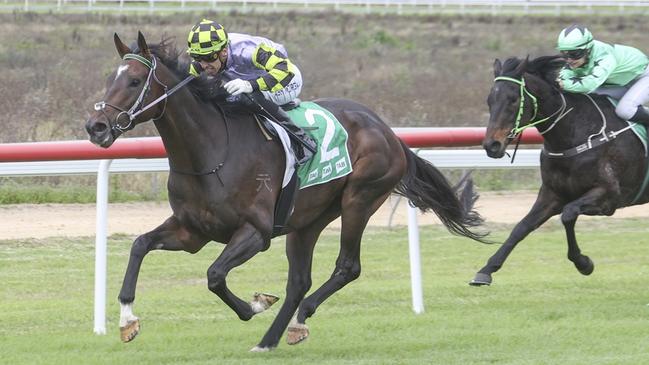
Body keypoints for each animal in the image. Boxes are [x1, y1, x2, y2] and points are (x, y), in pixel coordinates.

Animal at [85, 32, 486, 352]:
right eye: (108, 78)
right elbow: (139, 245)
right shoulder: (192, 231)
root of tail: (388, 132)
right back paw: (270, 339)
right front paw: (127, 320)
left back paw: (298, 319)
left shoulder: (255, 232)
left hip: (360, 198)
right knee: (299, 281)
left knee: (346, 267)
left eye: (135, 80)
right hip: (307, 220)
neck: (211, 151)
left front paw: (255, 305)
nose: (96, 126)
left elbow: (214, 275)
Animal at [470, 55, 648, 286]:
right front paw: (487, 270)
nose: (491, 145)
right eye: (489, 100)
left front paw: (583, 263)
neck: (575, 134)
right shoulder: (552, 194)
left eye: (513, 100)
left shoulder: (609, 195)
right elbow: (522, 227)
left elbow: (568, 214)